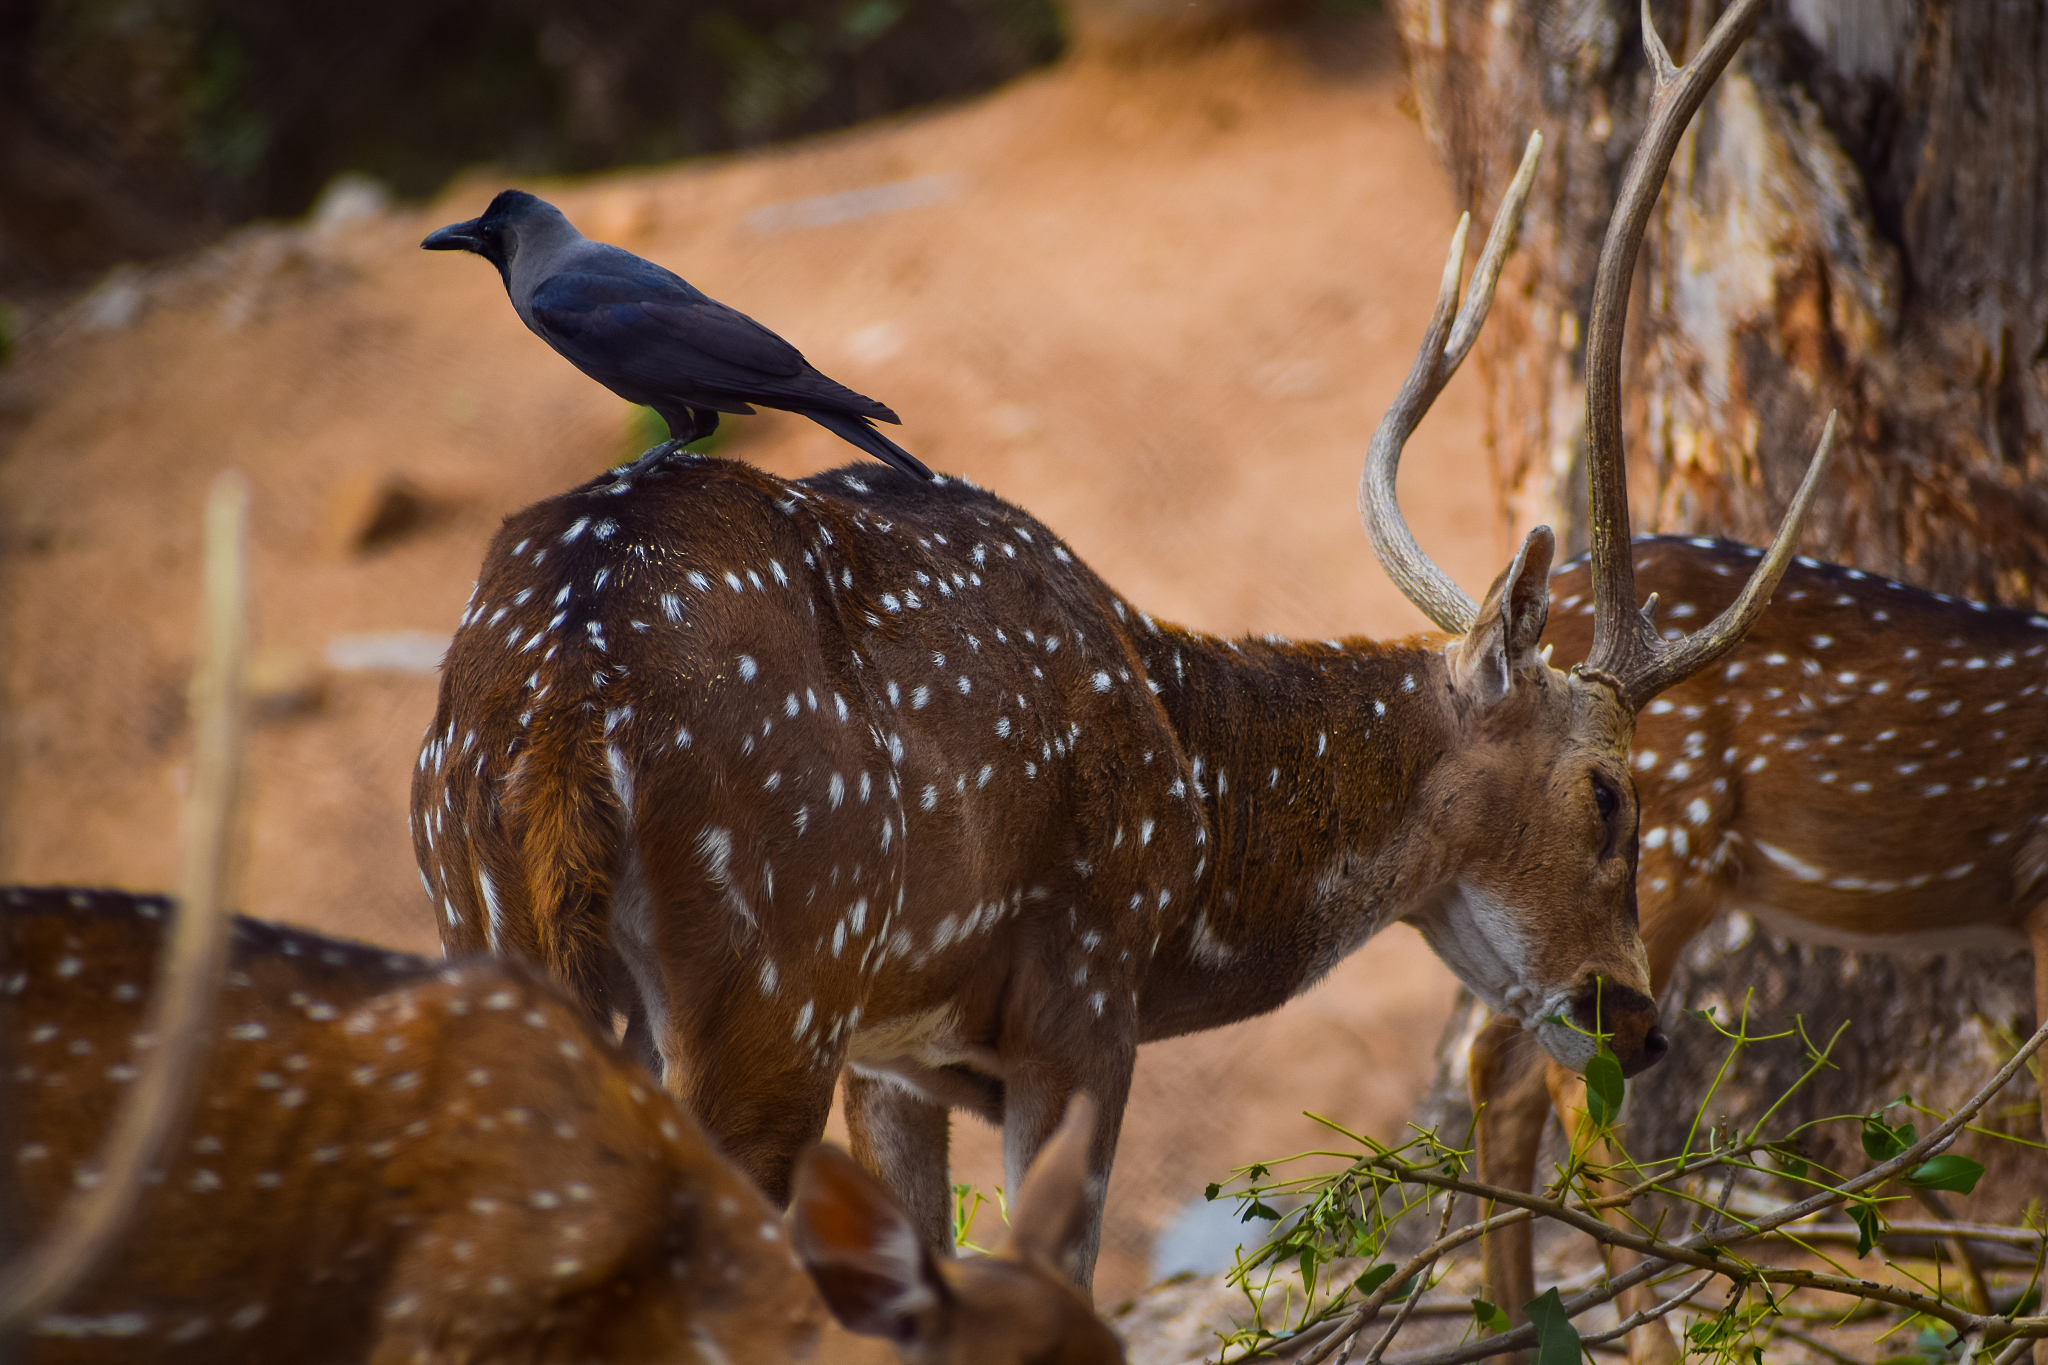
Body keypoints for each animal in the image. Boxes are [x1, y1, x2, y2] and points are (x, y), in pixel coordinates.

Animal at [409, 0, 1827, 1289]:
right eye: (1609, 794)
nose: (1635, 1023)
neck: (1189, 837)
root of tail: (561, 716)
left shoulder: (896, 1054)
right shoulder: (1083, 1002)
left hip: (489, 932)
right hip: (769, 988)